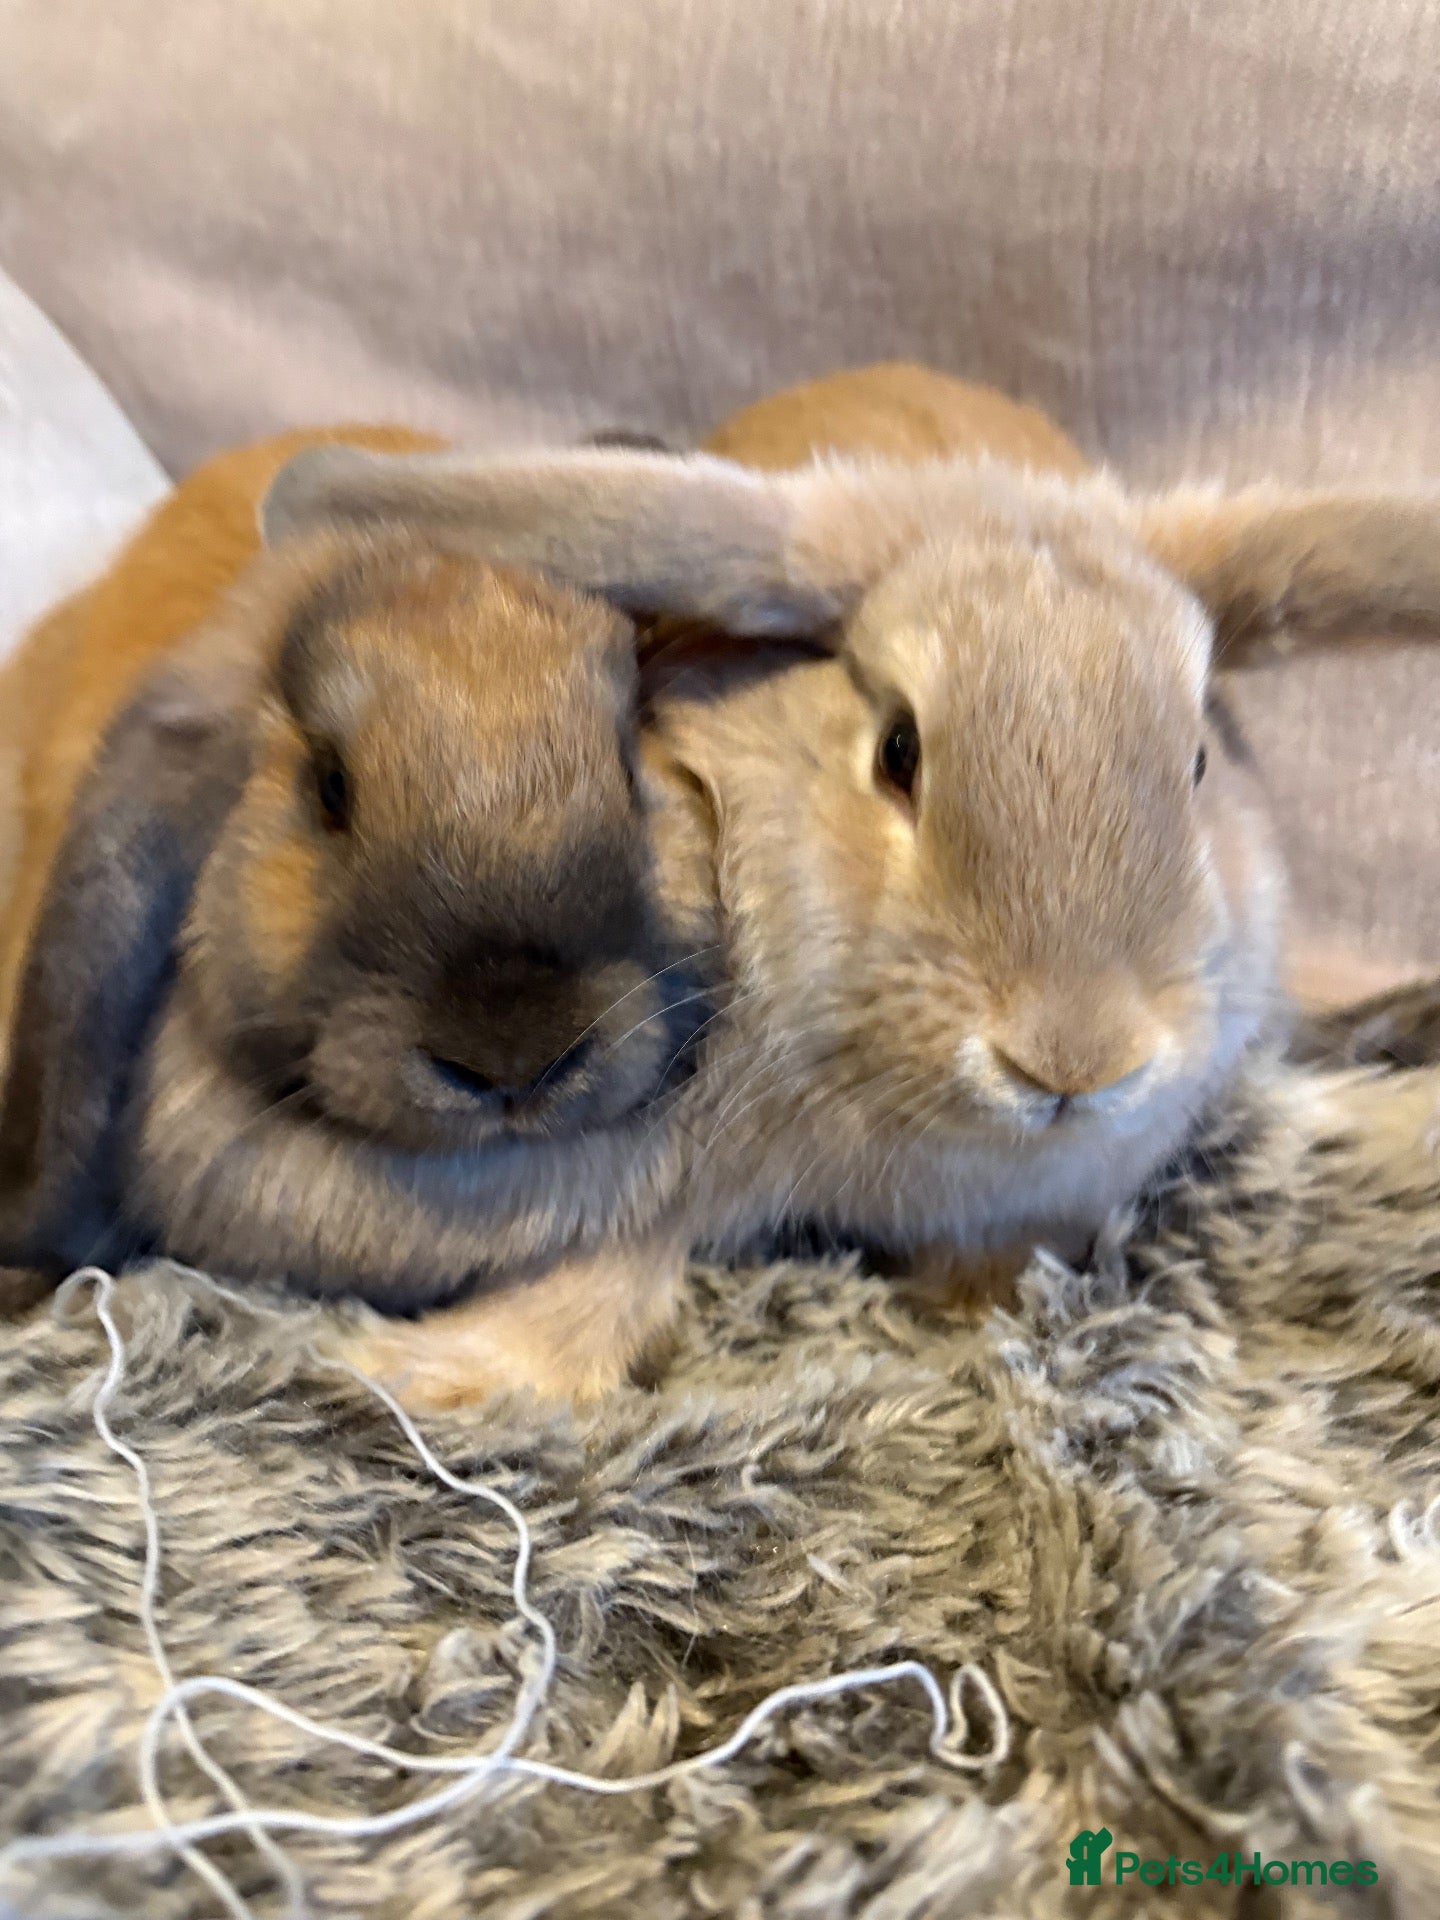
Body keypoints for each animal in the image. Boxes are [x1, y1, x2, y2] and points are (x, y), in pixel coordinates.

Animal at [259, 367, 1440, 1404]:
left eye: (1199, 762)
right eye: (898, 753)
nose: (1072, 1060)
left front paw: (976, 1307)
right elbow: (619, 1261)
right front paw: (433, 1374)